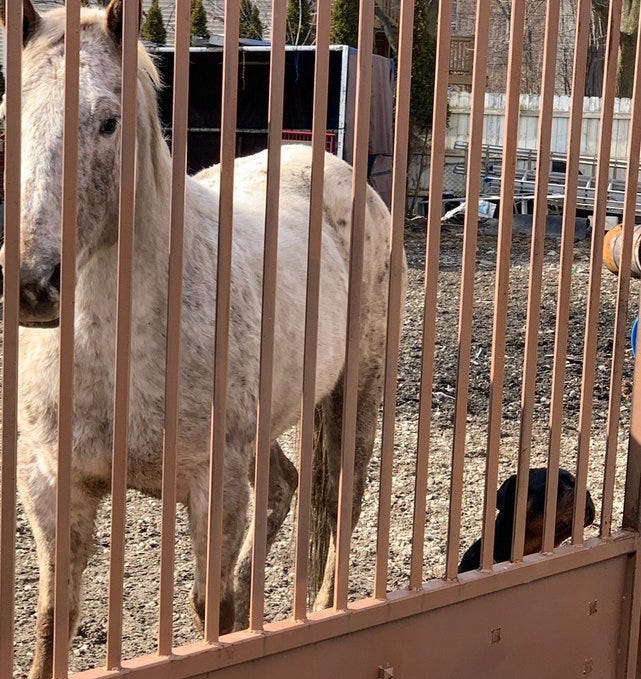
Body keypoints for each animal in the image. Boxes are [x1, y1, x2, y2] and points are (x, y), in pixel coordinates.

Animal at [0, 2, 405, 677]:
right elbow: (53, 628)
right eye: (8, 118)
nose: (33, 284)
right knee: (287, 486)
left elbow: (206, 610)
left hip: (357, 390)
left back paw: (324, 605)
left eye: (109, 122)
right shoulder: (55, 489)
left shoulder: (214, 487)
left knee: (339, 499)